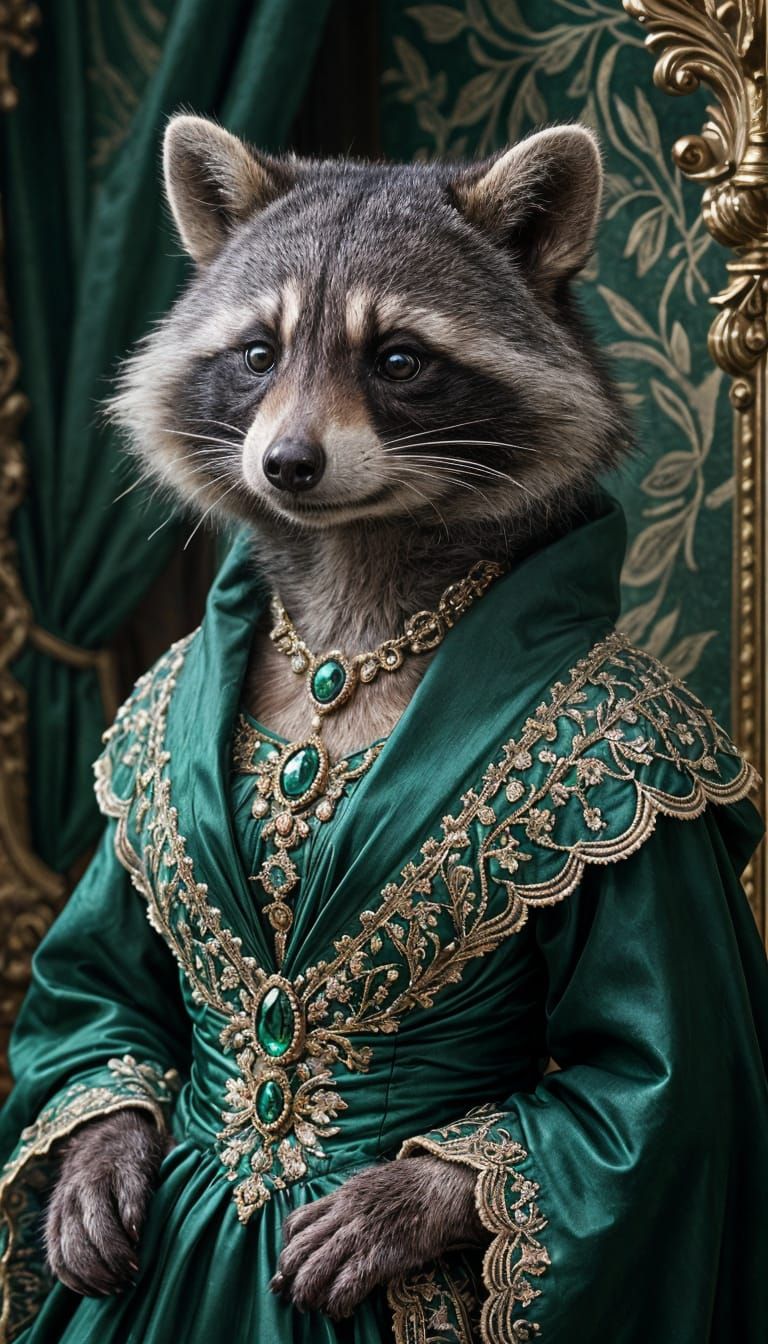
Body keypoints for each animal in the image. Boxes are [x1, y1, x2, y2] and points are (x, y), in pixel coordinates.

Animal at [46, 115, 630, 1314]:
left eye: (397, 359)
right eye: (260, 353)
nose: (288, 464)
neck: (350, 611)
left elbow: (632, 1079)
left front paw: (414, 1199)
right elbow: (100, 988)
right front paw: (95, 1149)